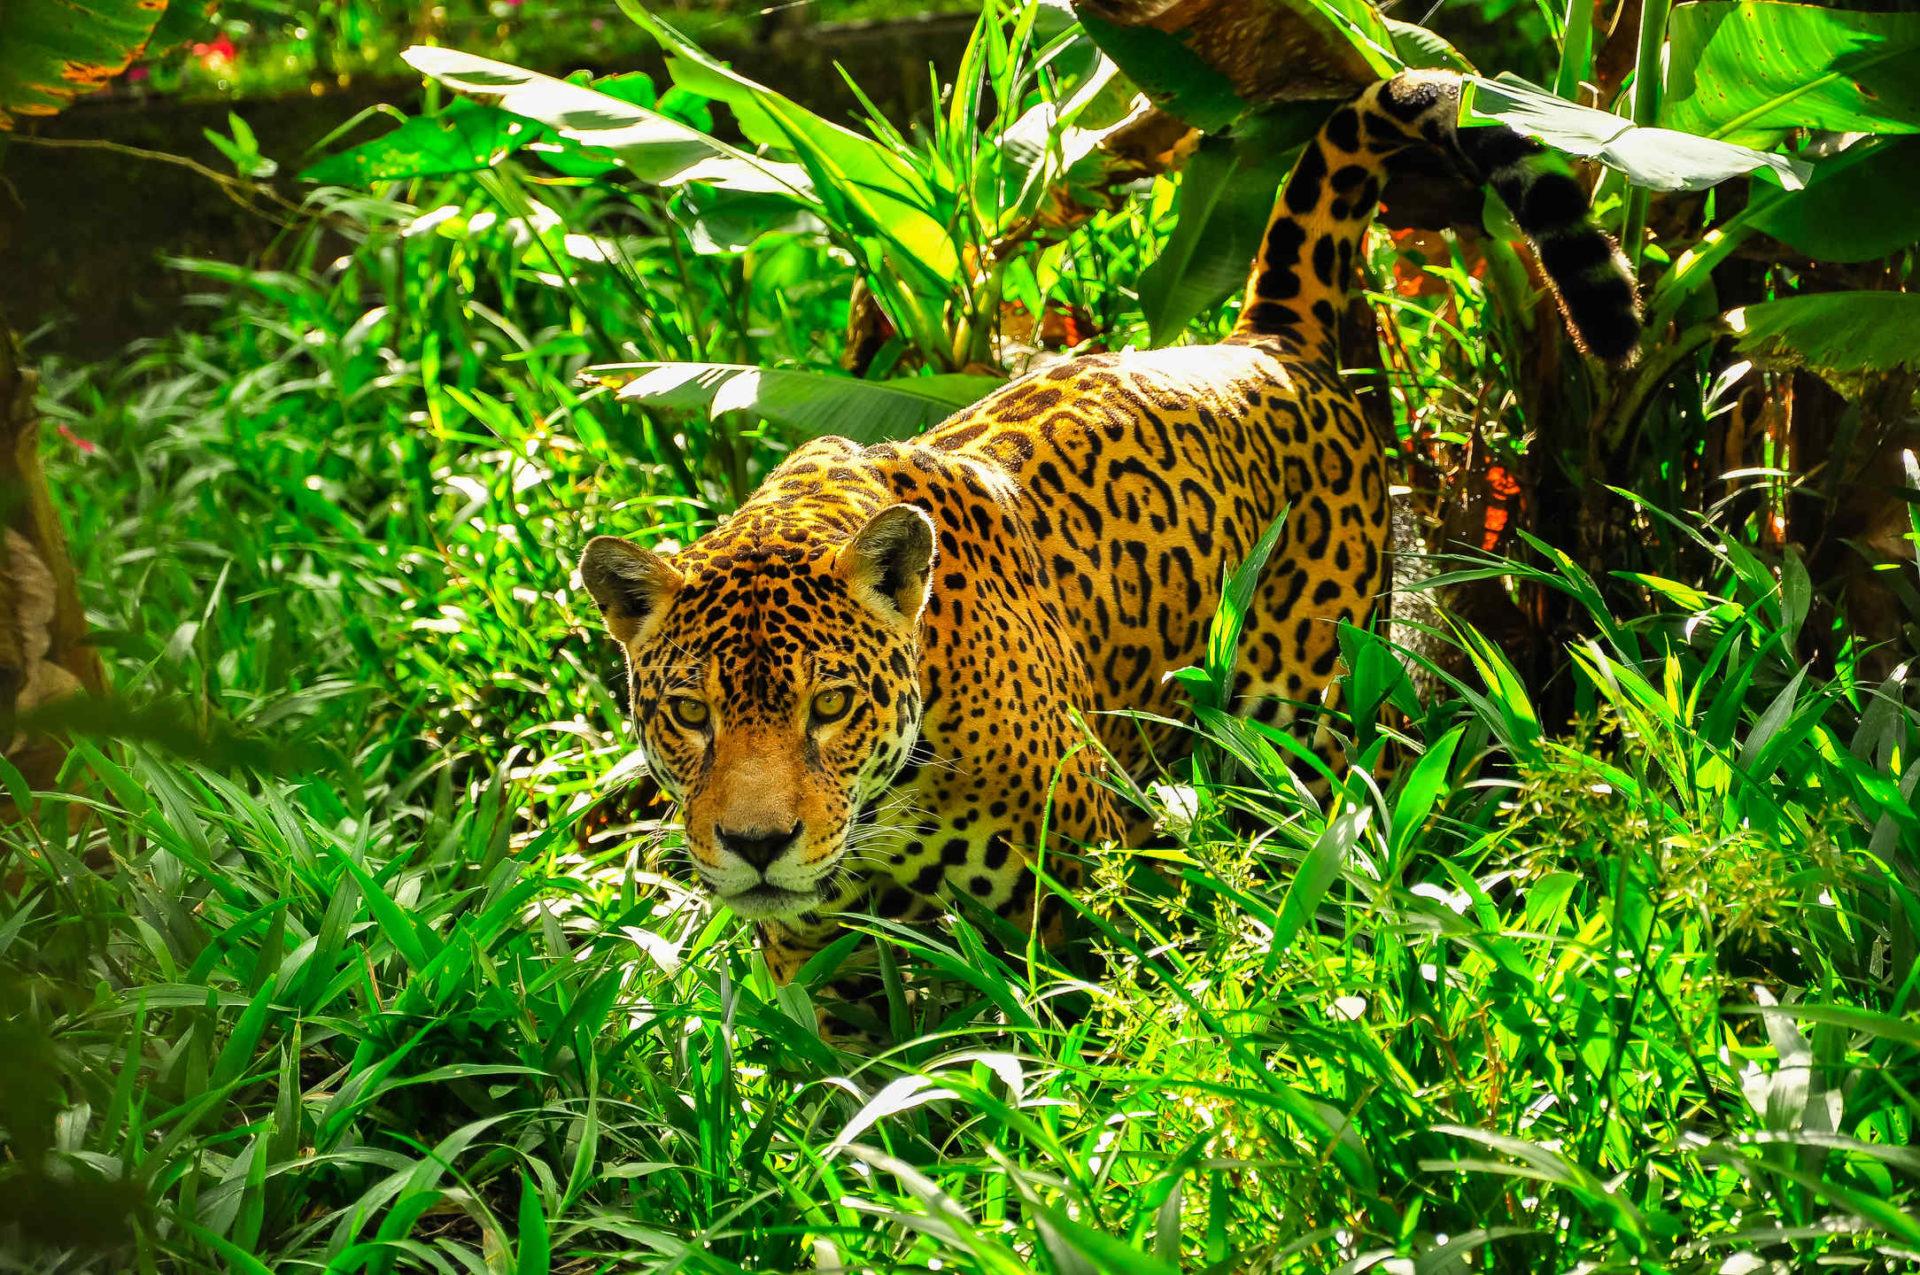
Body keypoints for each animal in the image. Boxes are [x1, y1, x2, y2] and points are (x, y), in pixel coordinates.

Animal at [575, 70, 1640, 984]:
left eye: (829, 705)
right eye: (689, 713)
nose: (757, 846)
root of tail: (1266, 338)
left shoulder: (1080, 905)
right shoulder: (817, 968)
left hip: (1316, 716)